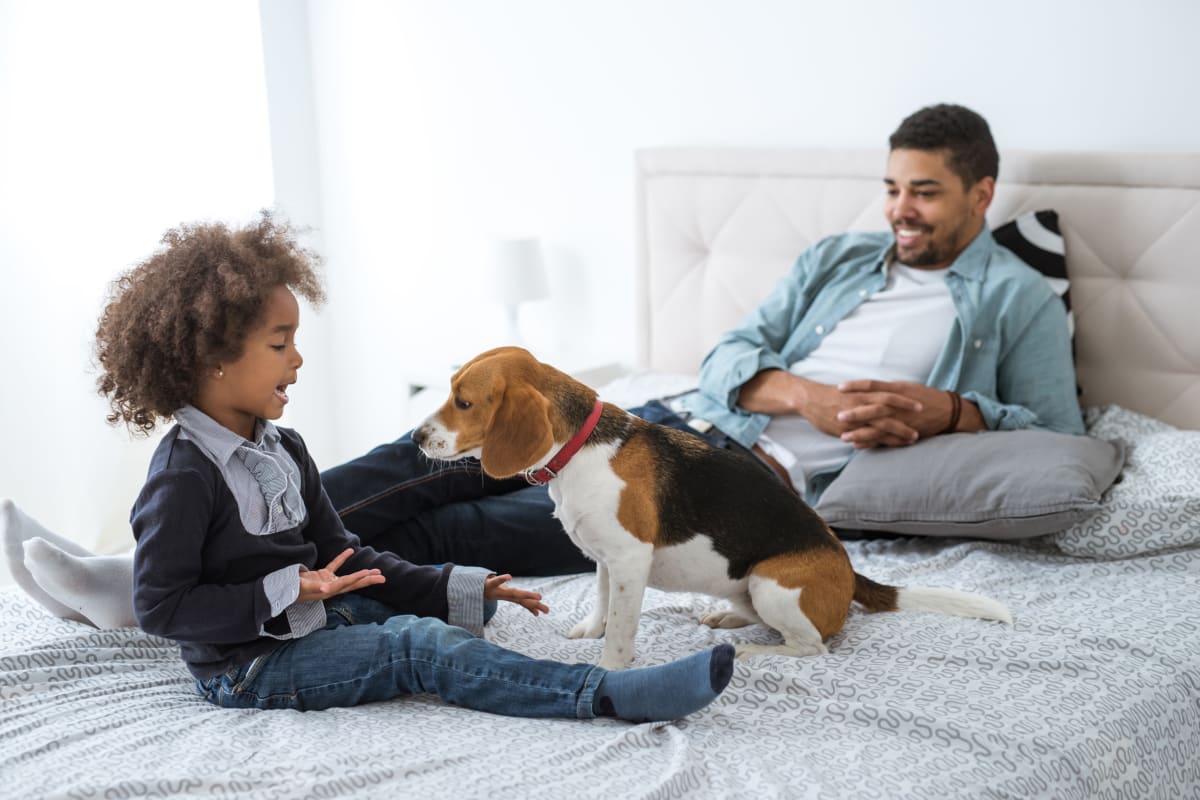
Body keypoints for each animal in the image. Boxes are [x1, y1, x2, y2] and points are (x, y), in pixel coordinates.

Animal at [412, 347, 1012, 666]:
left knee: (812, 646)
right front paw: (591, 631)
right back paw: (727, 616)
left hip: (773, 583)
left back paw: (753, 652)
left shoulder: (630, 560)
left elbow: (624, 628)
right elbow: (603, 604)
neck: (580, 447)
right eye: (447, 390)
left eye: (464, 402)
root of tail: (849, 571)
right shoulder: (606, 560)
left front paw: (609, 667)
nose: (416, 437)